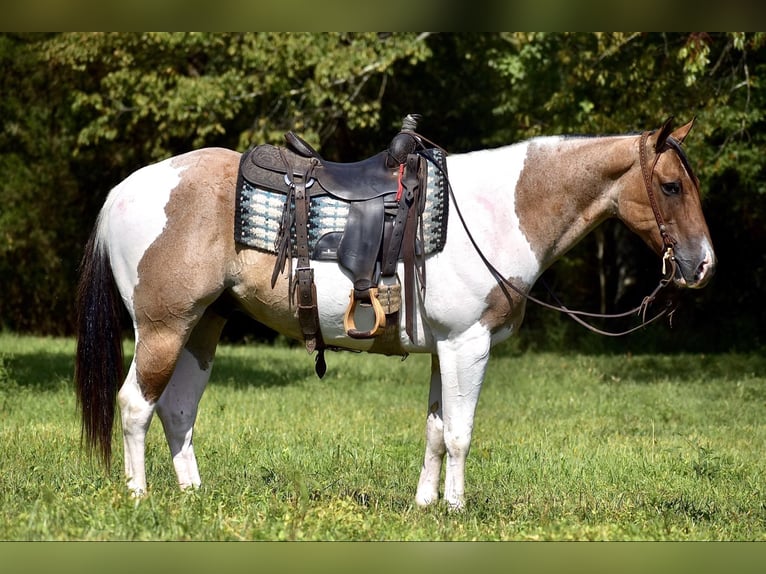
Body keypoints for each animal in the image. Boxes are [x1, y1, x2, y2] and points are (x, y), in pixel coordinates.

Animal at [75, 116, 716, 508]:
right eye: (671, 186)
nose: (703, 265)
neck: (496, 212)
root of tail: (122, 192)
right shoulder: (468, 344)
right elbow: (459, 432)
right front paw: (457, 508)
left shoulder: (445, 349)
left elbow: (434, 429)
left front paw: (425, 504)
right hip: (163, 327)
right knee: (135, 405)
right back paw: (139, 498)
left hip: (204, 326)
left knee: (177, 410)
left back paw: (194, 497)